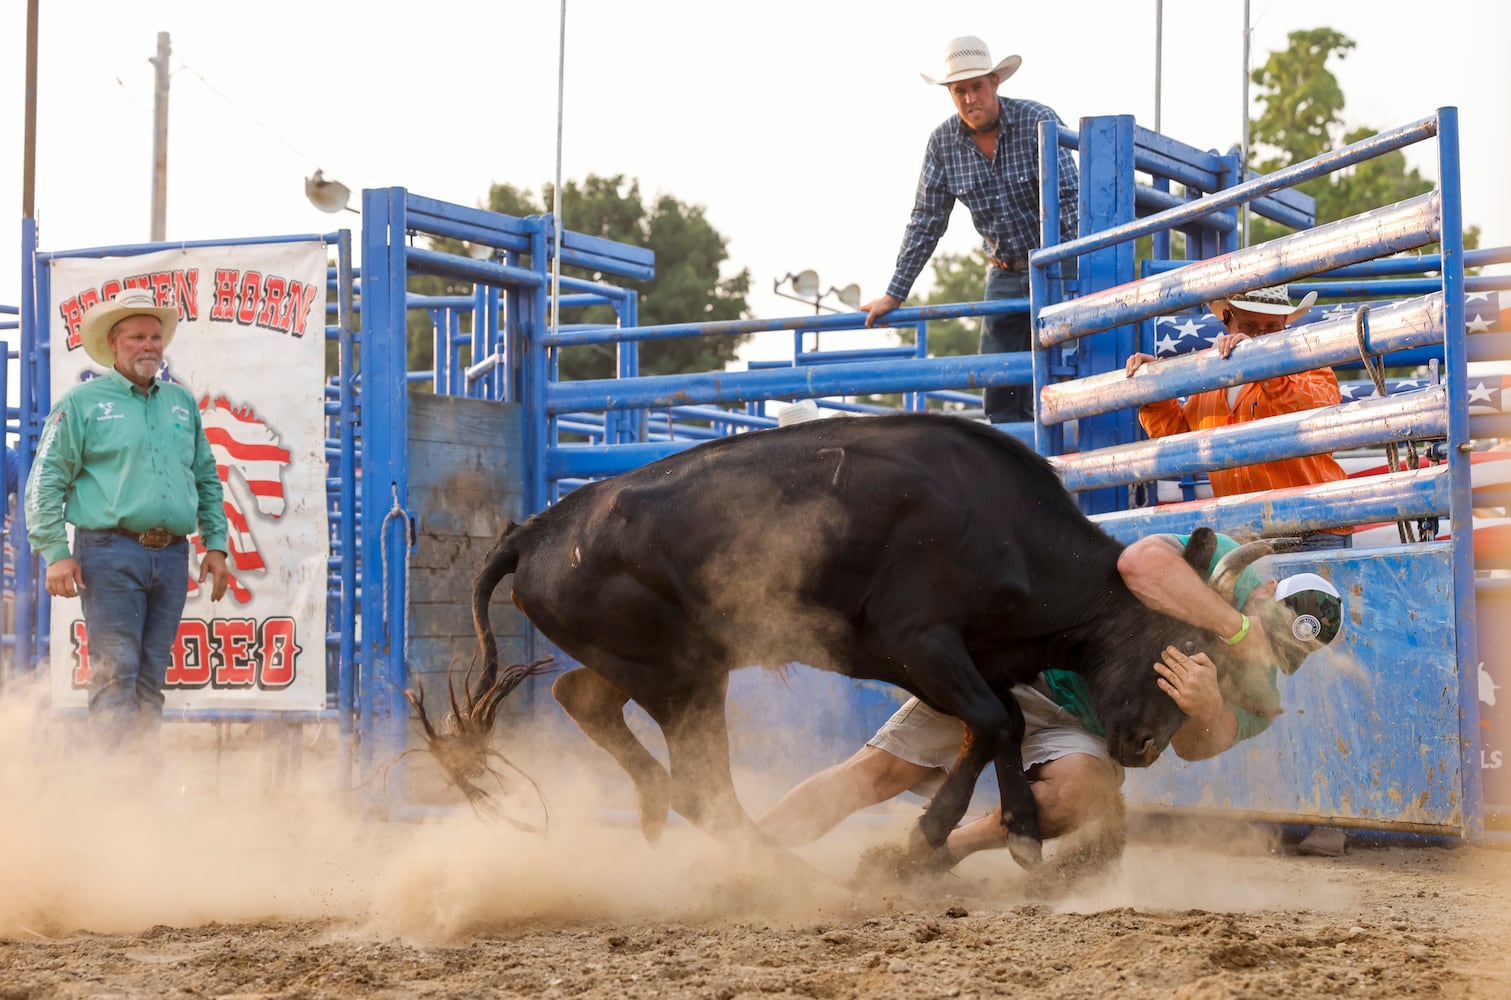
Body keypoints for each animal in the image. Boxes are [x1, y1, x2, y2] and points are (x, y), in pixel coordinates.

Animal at [474, 413, 1251, 870]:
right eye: (1178, 641)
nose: (1145, 747)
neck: (1009, 533)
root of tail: (534, 532)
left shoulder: (965, 660)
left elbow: (994, 726)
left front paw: (998, 830)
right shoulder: (918, 642)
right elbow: (994, 722)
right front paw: (958, 830)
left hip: (653, 665)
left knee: (582, 696)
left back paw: (655, 810)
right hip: (683, 678)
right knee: (702, 790)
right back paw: (777, 868)